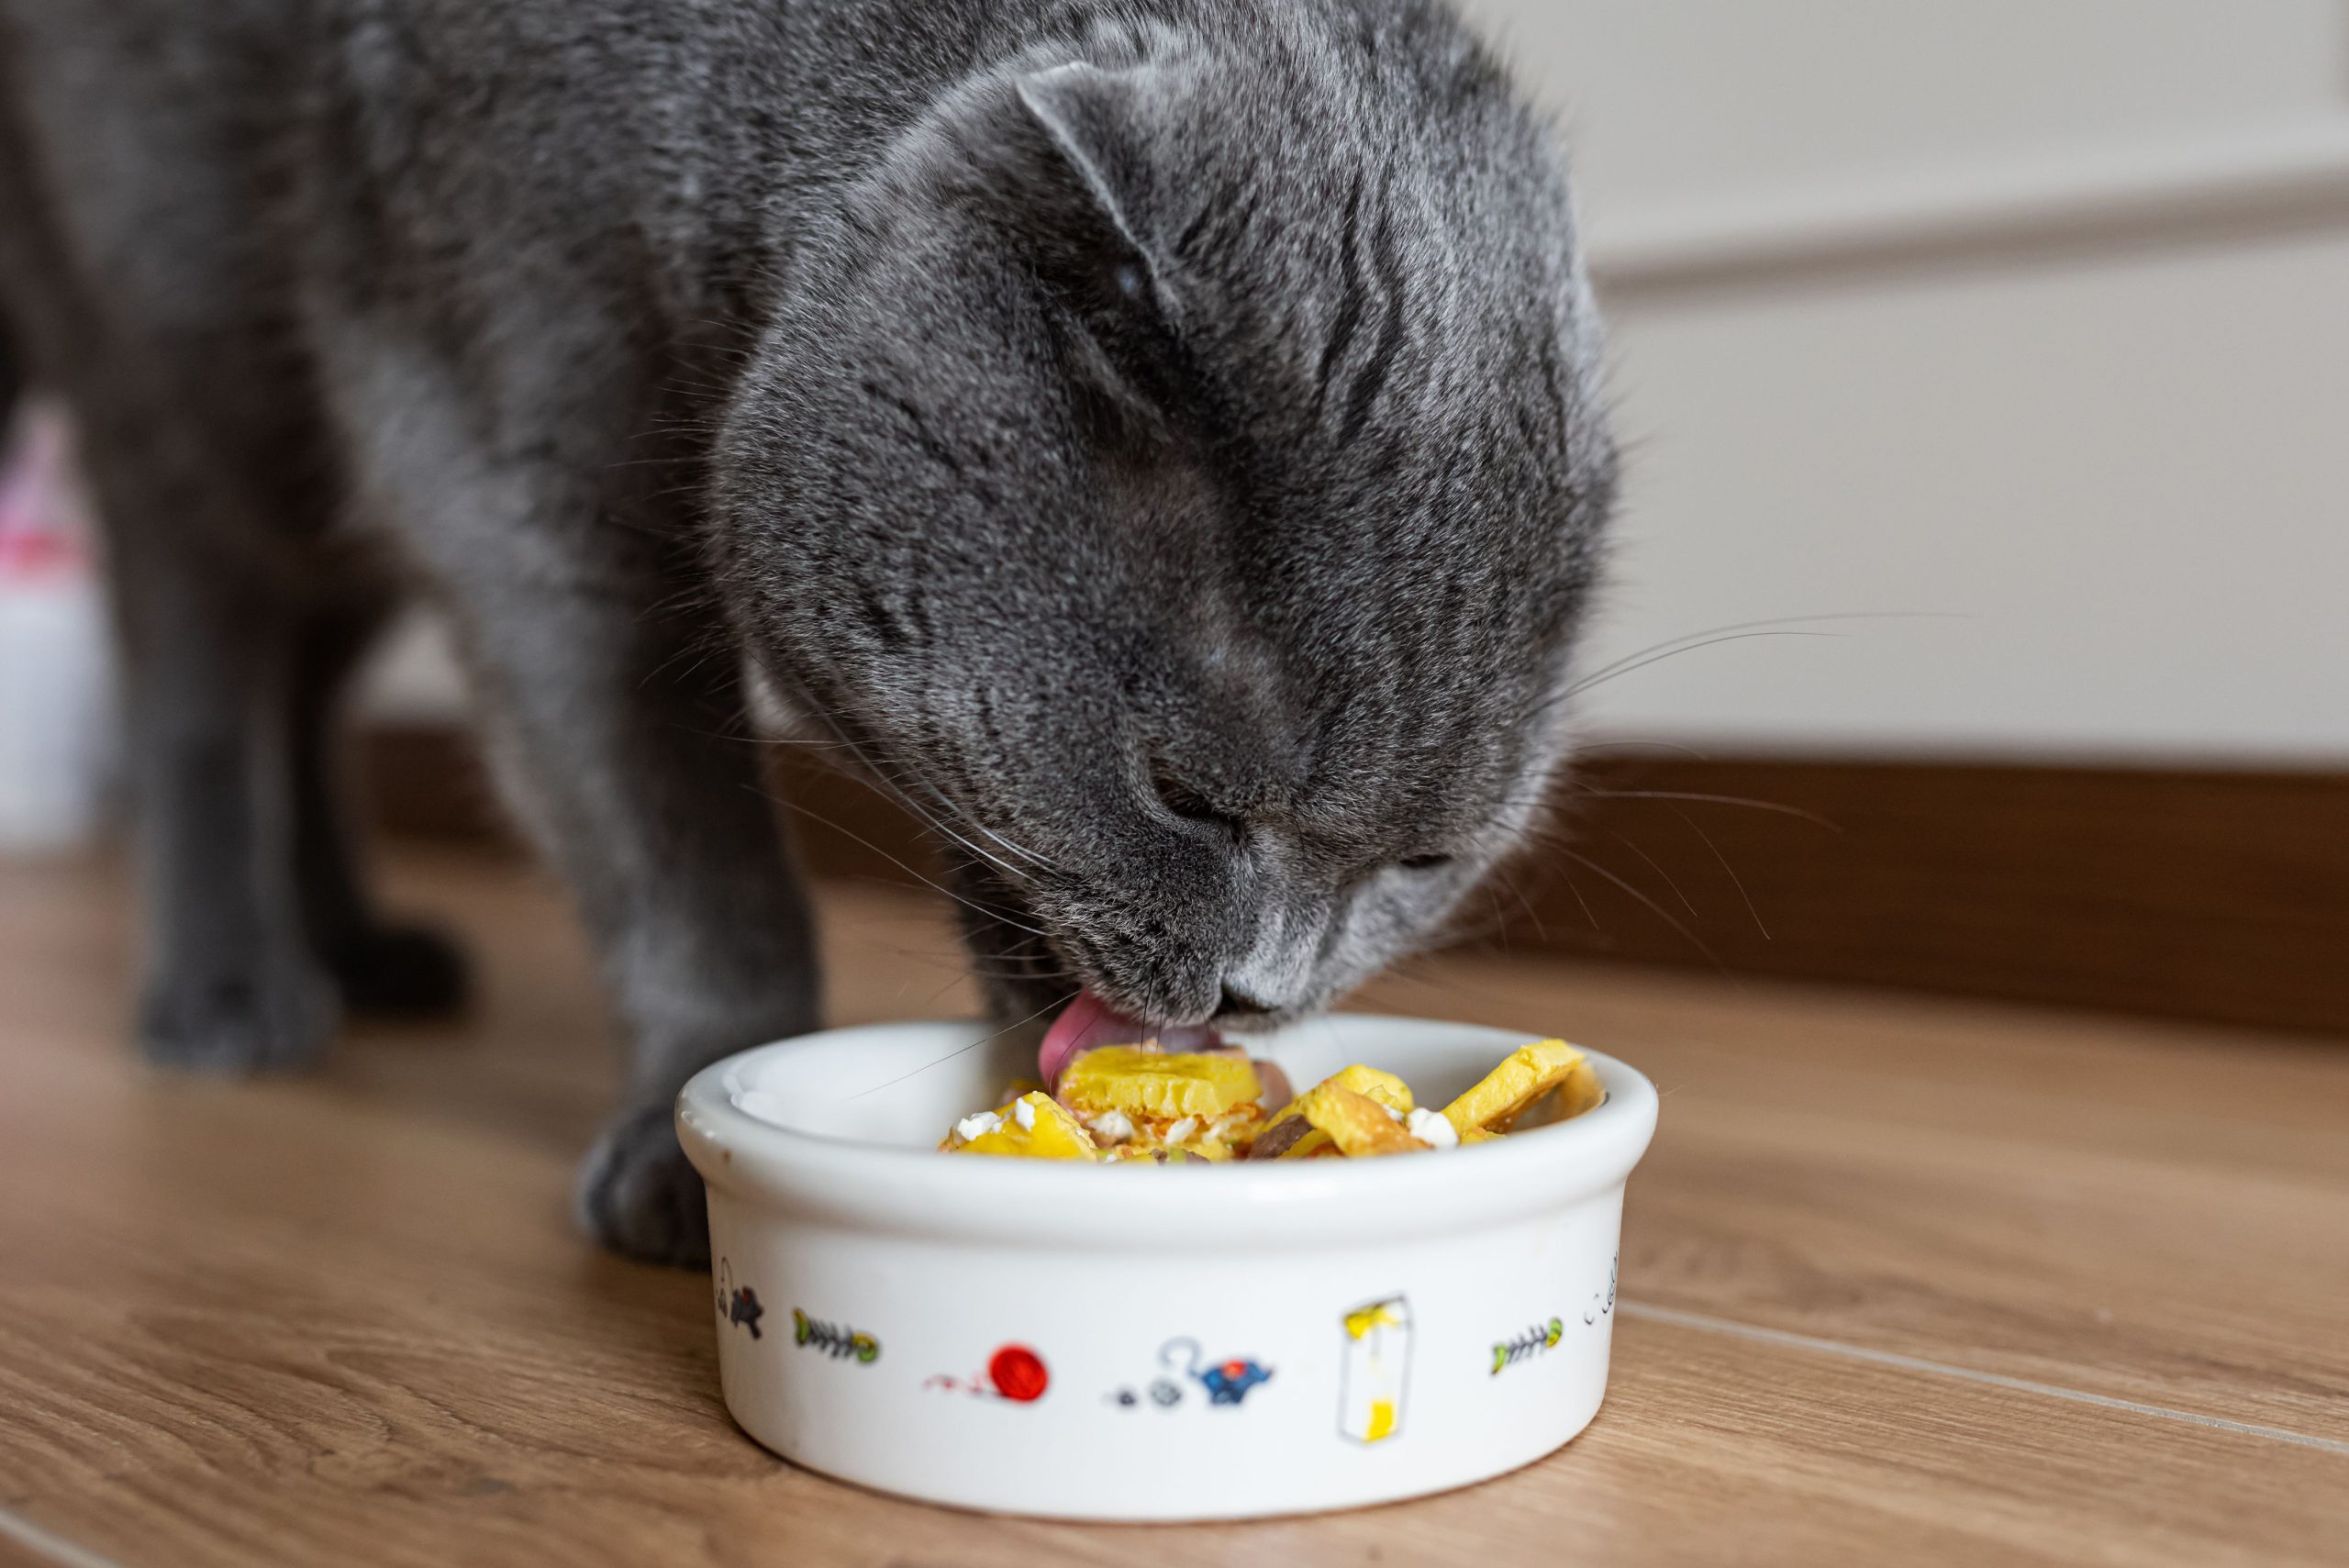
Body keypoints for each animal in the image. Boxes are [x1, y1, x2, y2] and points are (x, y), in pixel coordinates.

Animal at [0, 0, 1616, 1258]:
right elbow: (677, 849)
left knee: (307, 683)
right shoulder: (504, 457)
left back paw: (363, 950)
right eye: (1187, 798)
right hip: (186, 341)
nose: (1258, 993)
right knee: (203, 667)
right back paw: (228, 992)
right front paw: (688, 1138)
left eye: (1423, 866)